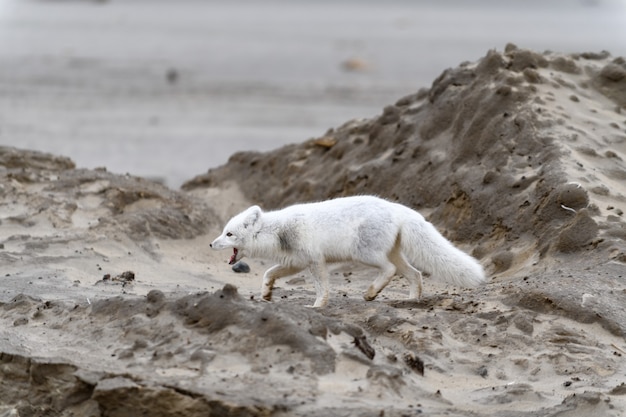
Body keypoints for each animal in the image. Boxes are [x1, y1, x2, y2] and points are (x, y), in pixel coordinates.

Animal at [210, 194, 482, 306]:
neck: (279, 231)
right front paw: (266, 293)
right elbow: (269, 273)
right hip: (392, 253)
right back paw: (411, 300)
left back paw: (371, 293)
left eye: (229, 234)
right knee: (414, 273)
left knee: (390, 270)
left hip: (364, 254)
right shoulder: (296, 263)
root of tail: (397, 209)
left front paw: (317, 306)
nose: (211, 244)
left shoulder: (315, 261)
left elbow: (322, 287)